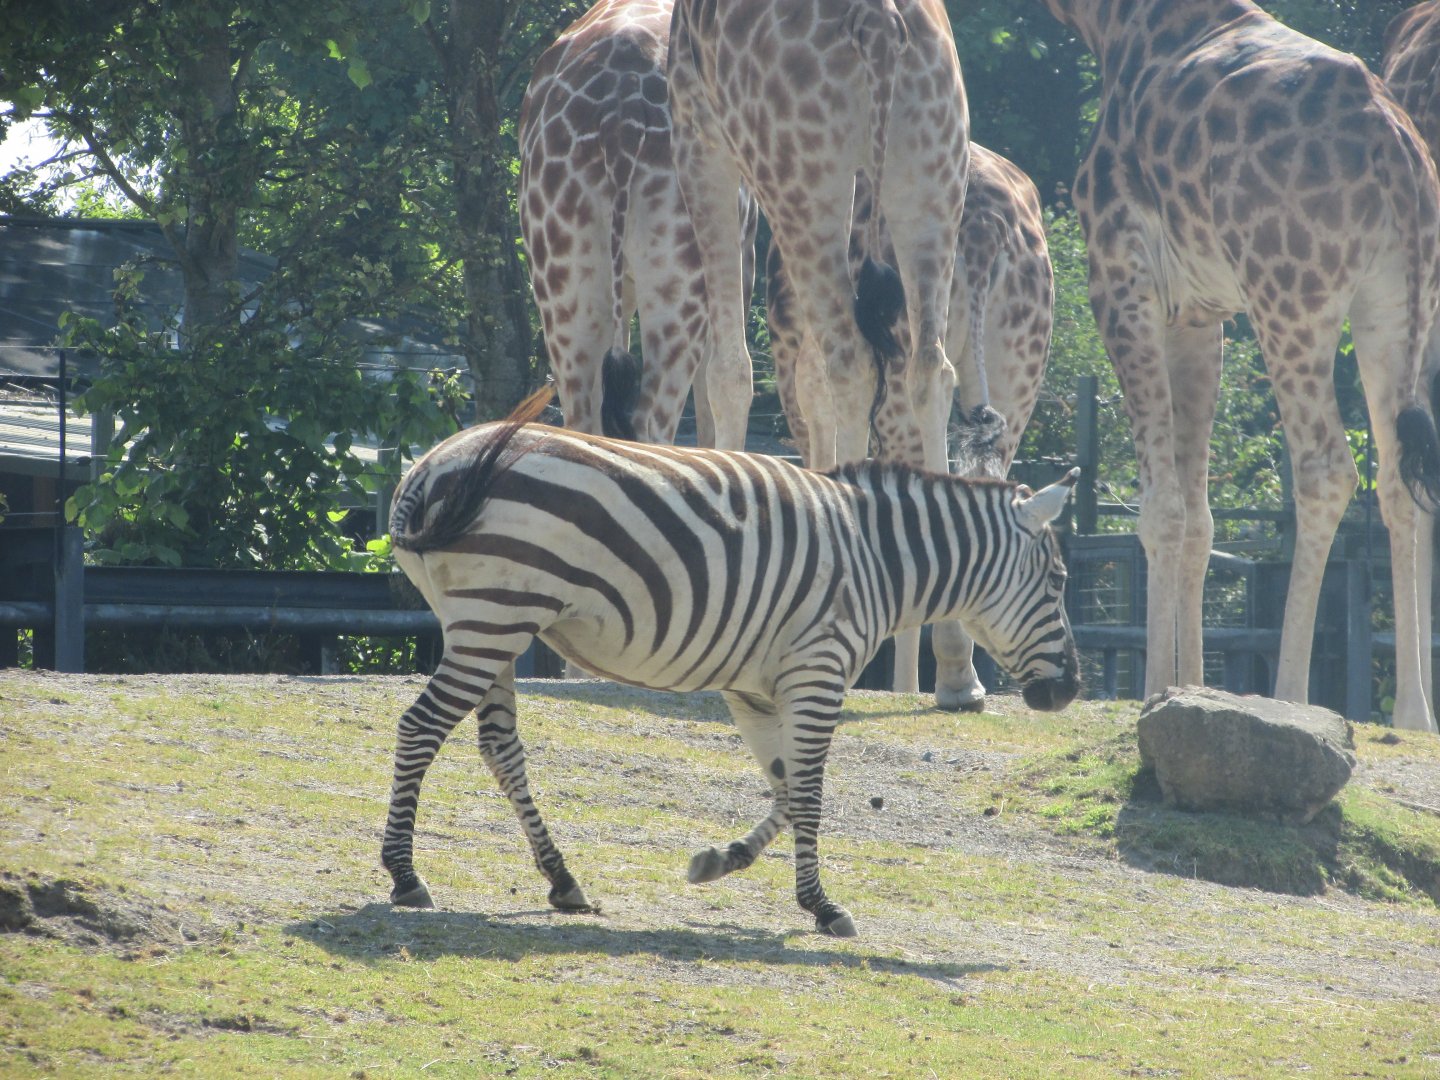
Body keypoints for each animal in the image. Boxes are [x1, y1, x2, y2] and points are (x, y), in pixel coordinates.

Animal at [382, 387, 1081, 937]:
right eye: (1058, 581)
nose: (1070, 691)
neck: (877, 557)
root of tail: (429, 469)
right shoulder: (819, 671)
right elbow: (810, 790)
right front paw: (822, 905)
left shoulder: (758, 686)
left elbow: (786, 786)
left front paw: (723, 860)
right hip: (495, 614)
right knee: (420, 728)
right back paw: (405, 875)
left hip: (491, 624)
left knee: (499, 747)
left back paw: (562, 880)